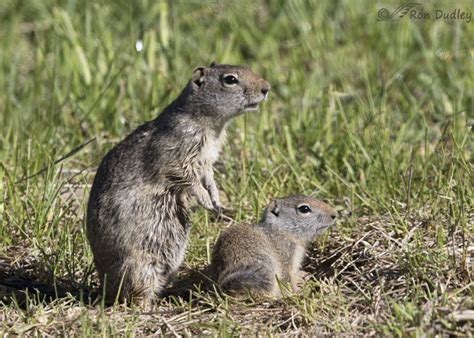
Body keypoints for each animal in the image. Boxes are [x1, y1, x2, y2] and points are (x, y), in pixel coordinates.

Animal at [85, 61, 270, 306]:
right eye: (230, 79)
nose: (266, 88)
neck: (208, 123)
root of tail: (105, 290)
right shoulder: (179, 152)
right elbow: (186, 176)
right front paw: (206, 200)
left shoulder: (206, 160)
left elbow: (208, 176)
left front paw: (216, 200)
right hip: (140, 266)